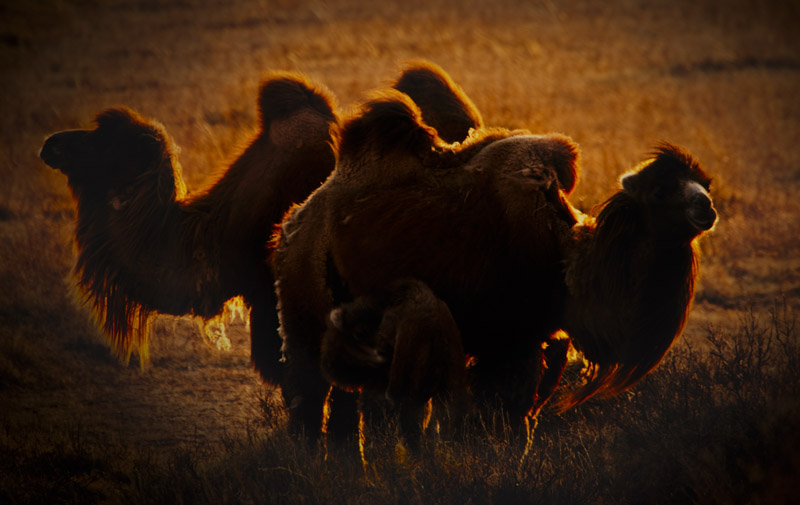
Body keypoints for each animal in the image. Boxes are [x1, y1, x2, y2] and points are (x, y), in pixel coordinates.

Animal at [272, 89, 716, 438]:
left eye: (704, 182)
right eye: (660, 190)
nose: (706, 208)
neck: (568, 265)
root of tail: (293, 224)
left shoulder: (545, 338)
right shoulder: (510, 341)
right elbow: (506, 423)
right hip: (302, 309)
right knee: (309, 396)